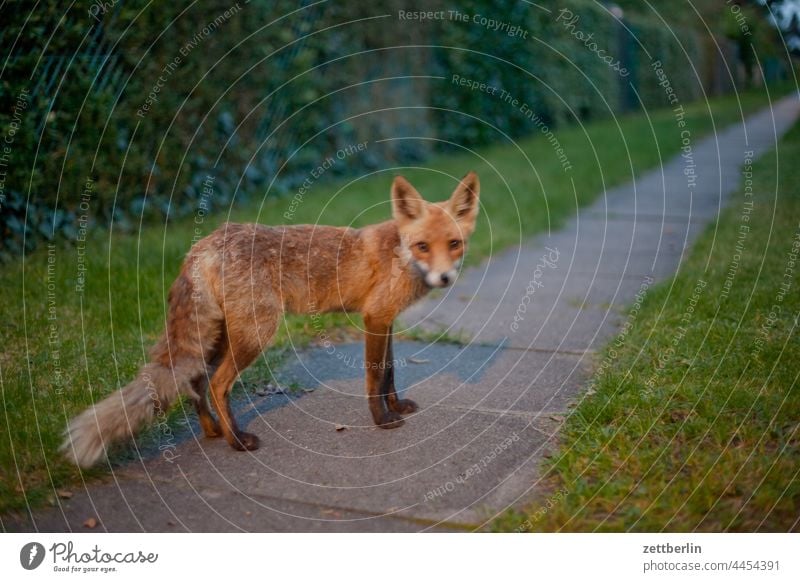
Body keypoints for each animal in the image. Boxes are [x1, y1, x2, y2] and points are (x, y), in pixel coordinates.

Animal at [62, 172, 482, 470]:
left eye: (454, 244)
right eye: (423, 246)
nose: (445, 278)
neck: (399, 253)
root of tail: (203, 244)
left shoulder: (385, 319)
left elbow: (390, 372)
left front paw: (396, 407)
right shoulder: (375, 316)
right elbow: (374, 377)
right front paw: (382, 421)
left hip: (222, 334)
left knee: (194, 379)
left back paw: (214, 431)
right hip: (256, 333)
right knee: (216, 383)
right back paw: (236, 442)